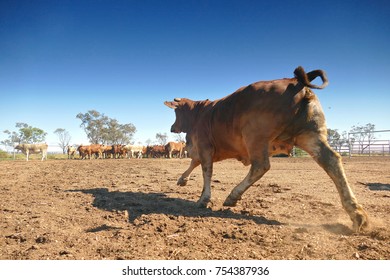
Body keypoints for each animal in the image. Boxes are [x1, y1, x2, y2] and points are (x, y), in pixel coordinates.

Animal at [165, 65, 368, 232]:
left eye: (176, 112)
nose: (172, 128)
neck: (200, 114)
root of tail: (294, 81)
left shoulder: (205, 146)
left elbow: (205, 170)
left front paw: (203, 198)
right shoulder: (201, 149)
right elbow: (194, 162)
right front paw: (182, 180)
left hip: (255, 137)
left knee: (261, 166)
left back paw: (233, 195)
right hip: (310, 135)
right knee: (332, 161)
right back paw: (357, 215)